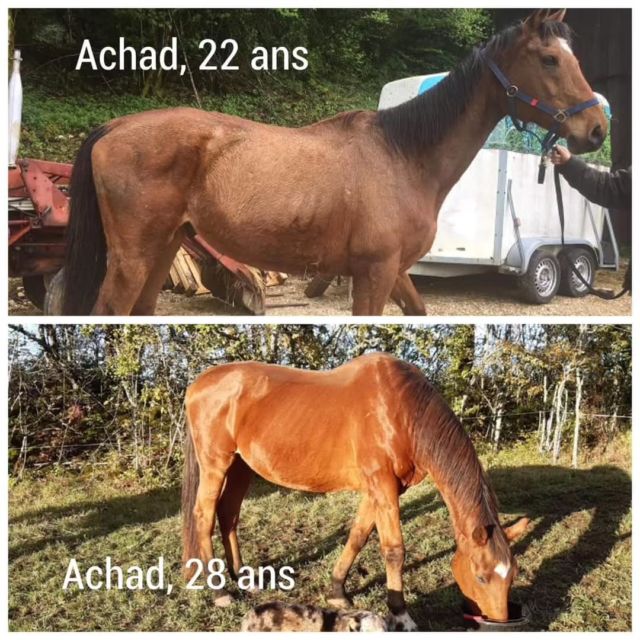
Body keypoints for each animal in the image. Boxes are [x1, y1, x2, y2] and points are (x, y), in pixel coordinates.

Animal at [62, 9, 606, 316]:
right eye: (550, 59)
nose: (597, 128)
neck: (404, 157)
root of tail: (114, 126)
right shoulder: (373, 275)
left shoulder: (395, 272)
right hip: (133, 257)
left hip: (165, 246)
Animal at [181, 353, 529, 629]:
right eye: (482, 577)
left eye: (512, 575)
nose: (499, 623)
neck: (402, 411)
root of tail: (197, 384)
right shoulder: (382, 484)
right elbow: (394, 550)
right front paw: (401, 614)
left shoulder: (384, 488)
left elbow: (358, 535)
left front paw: (338, 592)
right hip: (216, 464)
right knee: (204, 516)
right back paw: (220, 591)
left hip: (241, 466)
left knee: (228, 514)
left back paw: (241, 578)